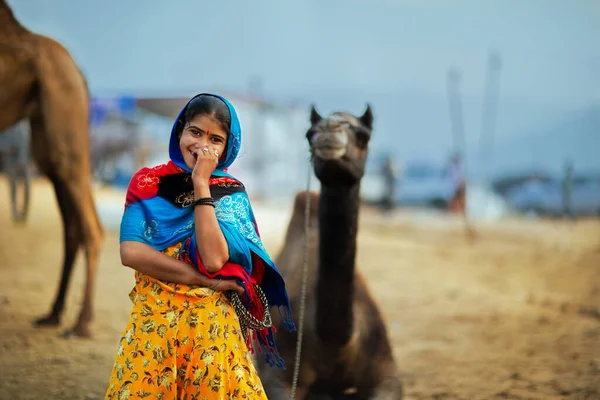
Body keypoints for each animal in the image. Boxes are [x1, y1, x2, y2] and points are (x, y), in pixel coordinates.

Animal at [0, 0, 104, 338]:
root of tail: (79, 71)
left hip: (65, 119)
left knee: (90, 226)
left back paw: (81, 322)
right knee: (72, 228)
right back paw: (53, 314)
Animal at [256, 104, 404, 398]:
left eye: (363, 134)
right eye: (309, 133)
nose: (328, 130)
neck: (337, 344)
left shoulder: (387, 371)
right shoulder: (277, 374)